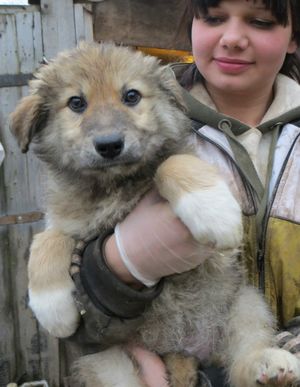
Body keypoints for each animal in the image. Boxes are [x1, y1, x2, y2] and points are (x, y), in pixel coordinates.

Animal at [9, 43, 300, 387]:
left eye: (131, 96)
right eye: (76, 103)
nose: (110, 145)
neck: (116, 185)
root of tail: (183, 350)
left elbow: (170, 163)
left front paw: (213, 210)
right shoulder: (69, 220)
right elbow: (47, 238)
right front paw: (52, 306)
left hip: (244, 302)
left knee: (244, 354)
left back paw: (268, 363)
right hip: (107, 359)